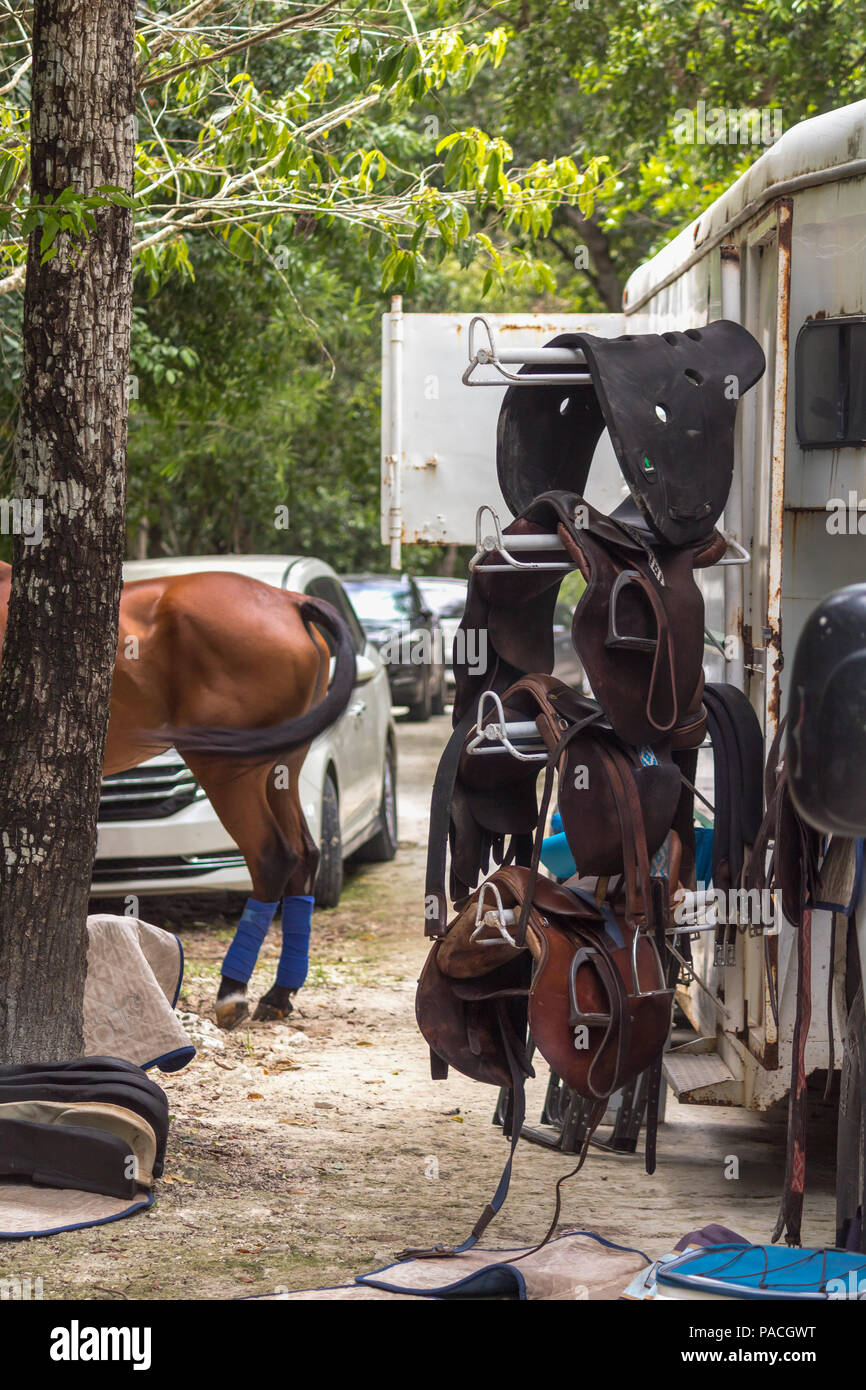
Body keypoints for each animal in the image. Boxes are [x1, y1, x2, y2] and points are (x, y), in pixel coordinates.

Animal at [0, 561, 356, 1029]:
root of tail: (289, 601)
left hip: (224, 768)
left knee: (272, 856)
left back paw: (232, 990)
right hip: (282, 767)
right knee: (306, 854)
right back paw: (279, 994)